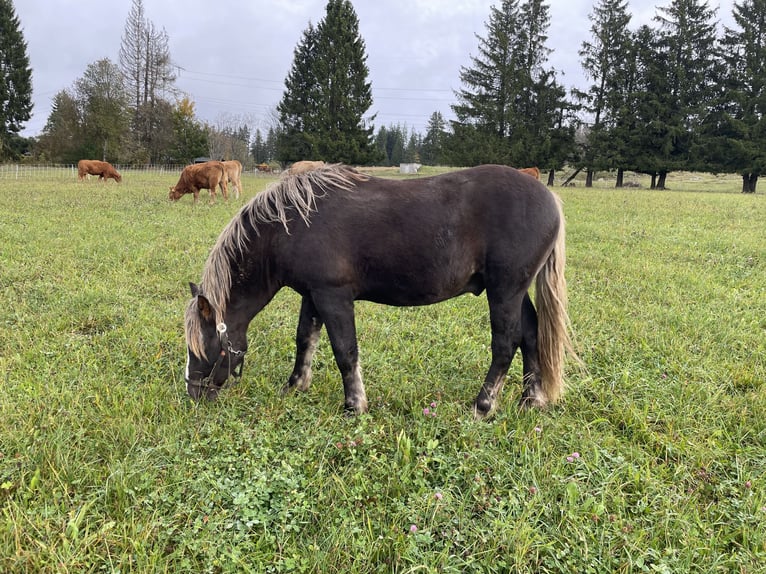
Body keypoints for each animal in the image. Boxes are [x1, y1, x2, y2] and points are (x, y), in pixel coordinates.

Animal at [184, 164, 576, 416]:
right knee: (531, 335)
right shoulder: (313, 295)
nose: (193, 394)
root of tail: (549, 199)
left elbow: (345, 351)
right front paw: (295, 385)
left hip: (504, 290)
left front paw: (354, 405)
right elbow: (305, 341)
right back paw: (531, 400)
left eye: (206, 347)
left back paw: (483, 405)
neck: (292, 222)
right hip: (514, 291)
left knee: (506, 343)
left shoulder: (333, 296)